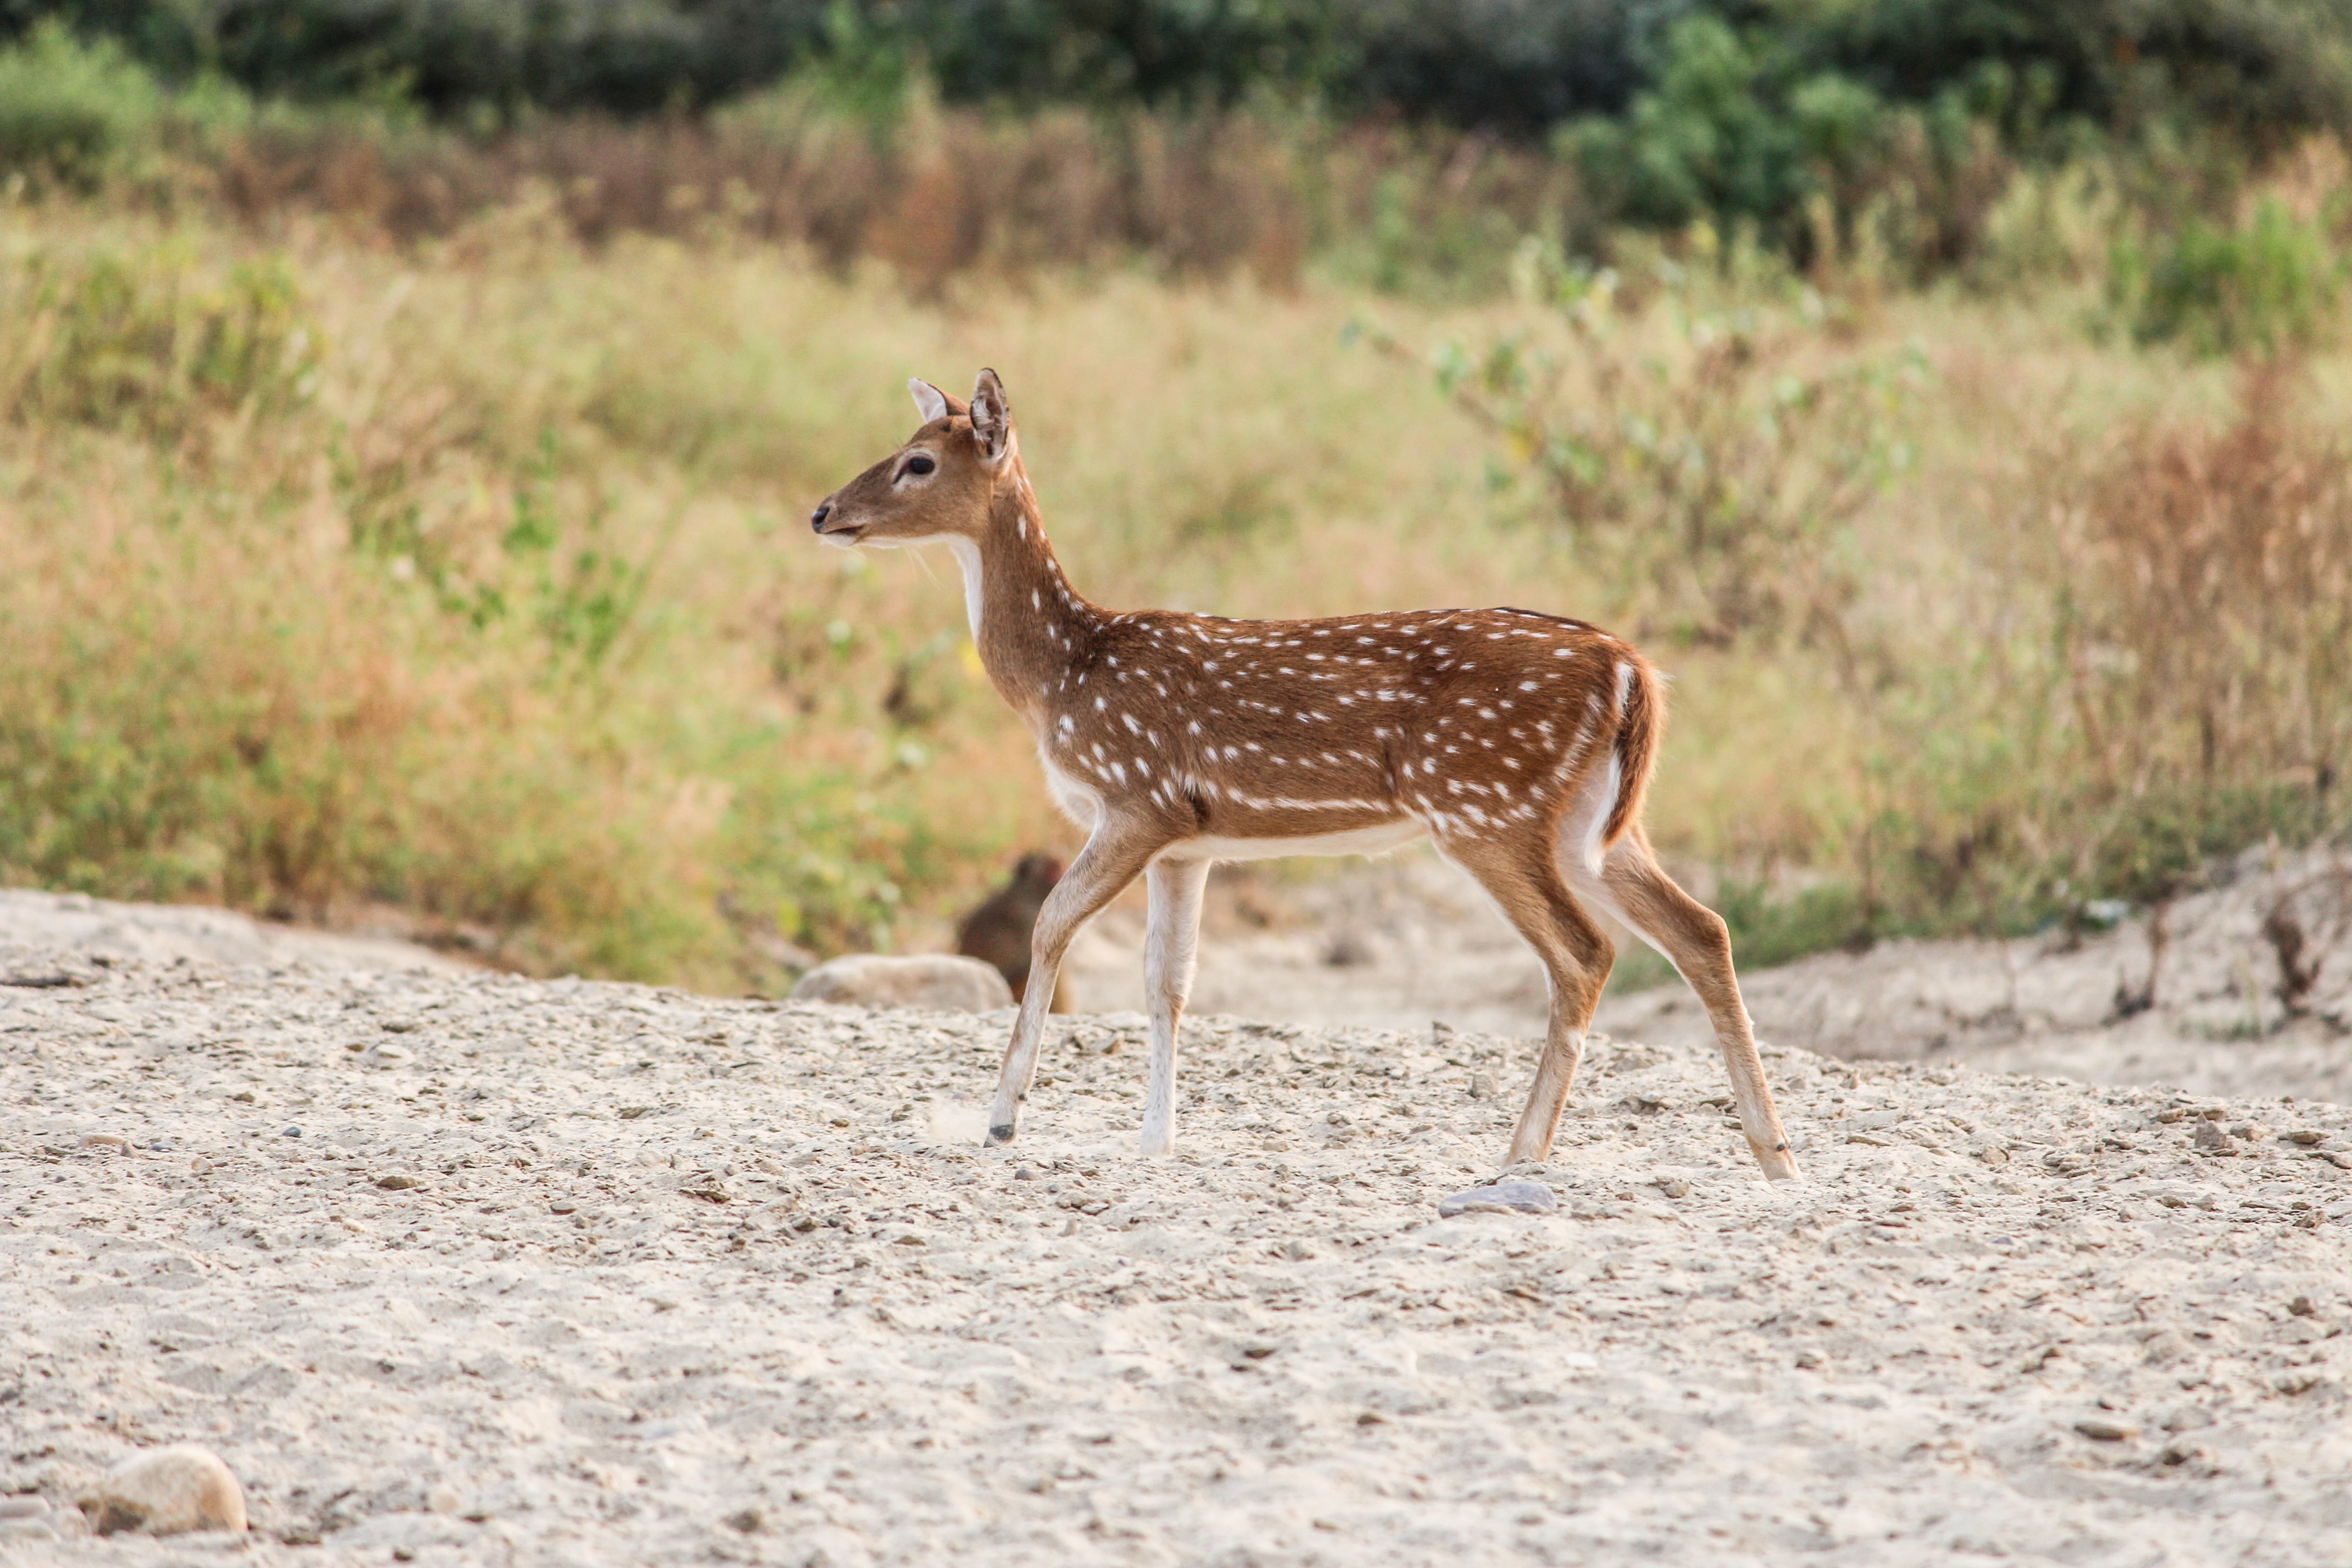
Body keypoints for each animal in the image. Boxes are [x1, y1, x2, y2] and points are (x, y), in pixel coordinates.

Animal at [809, 371, 1797, 1175]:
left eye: (917, 462)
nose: (821, 512)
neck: (1063, 677)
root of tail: (1630, 669)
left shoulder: (1136, 798)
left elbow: (1052, 925)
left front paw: (1005, 1118)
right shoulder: (1189, 842)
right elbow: (1169, 981)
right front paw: (1155, 1139)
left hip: (1485, 806)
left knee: (1586, 953)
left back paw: (1520, 1154)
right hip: (1594, 821)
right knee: (1701, 929)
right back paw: (1774, 1154)